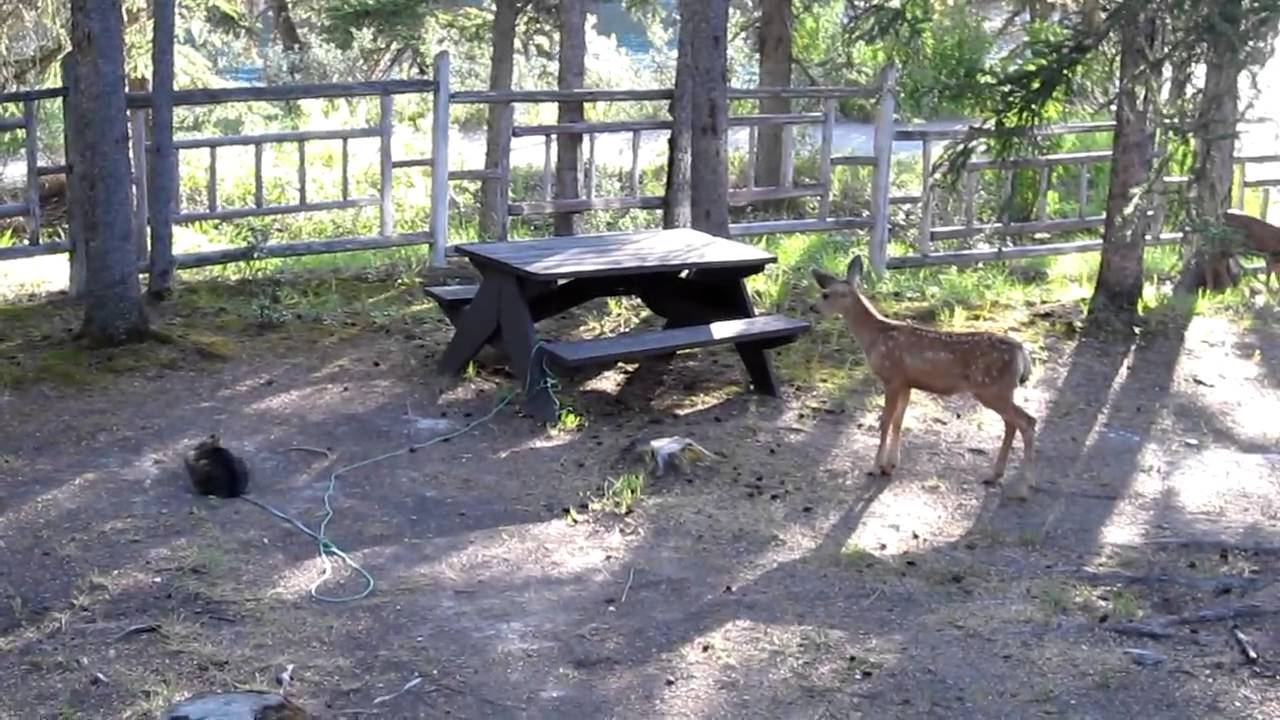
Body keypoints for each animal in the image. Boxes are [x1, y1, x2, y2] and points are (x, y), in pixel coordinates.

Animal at [811, 256, 1037, 499]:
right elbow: (898, 421)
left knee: (1027, 422)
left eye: (826, 294)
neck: (874, 337)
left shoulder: (892, 378)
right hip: (1000, 390)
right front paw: (890, 465)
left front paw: (875, 467)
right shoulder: (906, 383)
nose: (812, 308)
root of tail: (1022, 353)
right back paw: (994, 475)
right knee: (1012, 423)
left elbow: (885, 421)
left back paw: (1024, 486)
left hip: (992, 388)